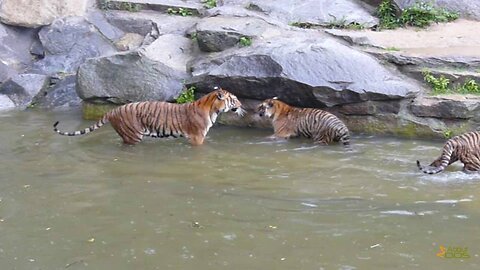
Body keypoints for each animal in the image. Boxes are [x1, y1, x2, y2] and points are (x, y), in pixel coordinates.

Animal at [54, 86, 246, 146]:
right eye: (234, 99)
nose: (242, 106)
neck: (212, 108)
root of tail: (112, 110)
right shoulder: (197, 137)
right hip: (133, 135)